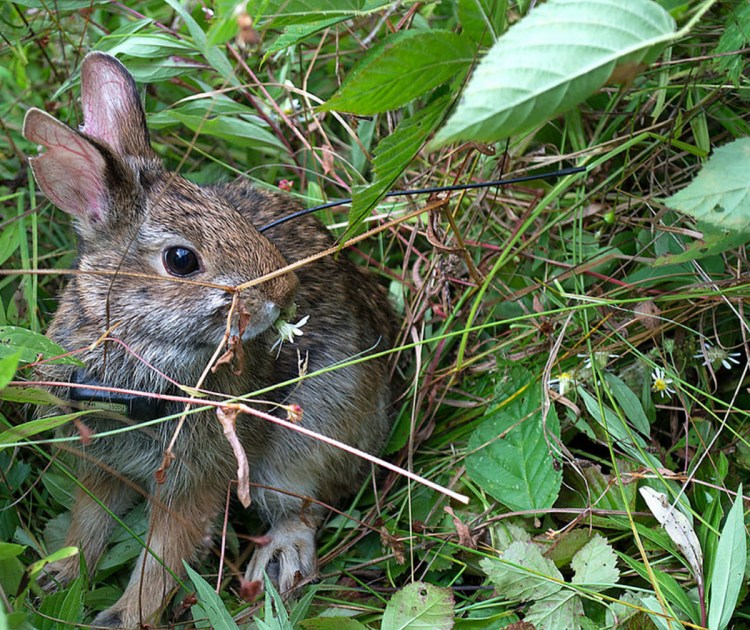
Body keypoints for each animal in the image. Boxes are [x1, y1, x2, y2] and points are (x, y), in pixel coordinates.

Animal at [22, 51, 400, 628]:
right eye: (181, 260)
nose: (284, 291)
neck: (137, 358)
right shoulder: (102, 463)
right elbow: (88, 521)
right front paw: (59, 579)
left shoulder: (194, 478)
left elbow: (164, 551)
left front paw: (124, 616)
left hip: (308, 437)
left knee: (305, 506)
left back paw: (278, 563)